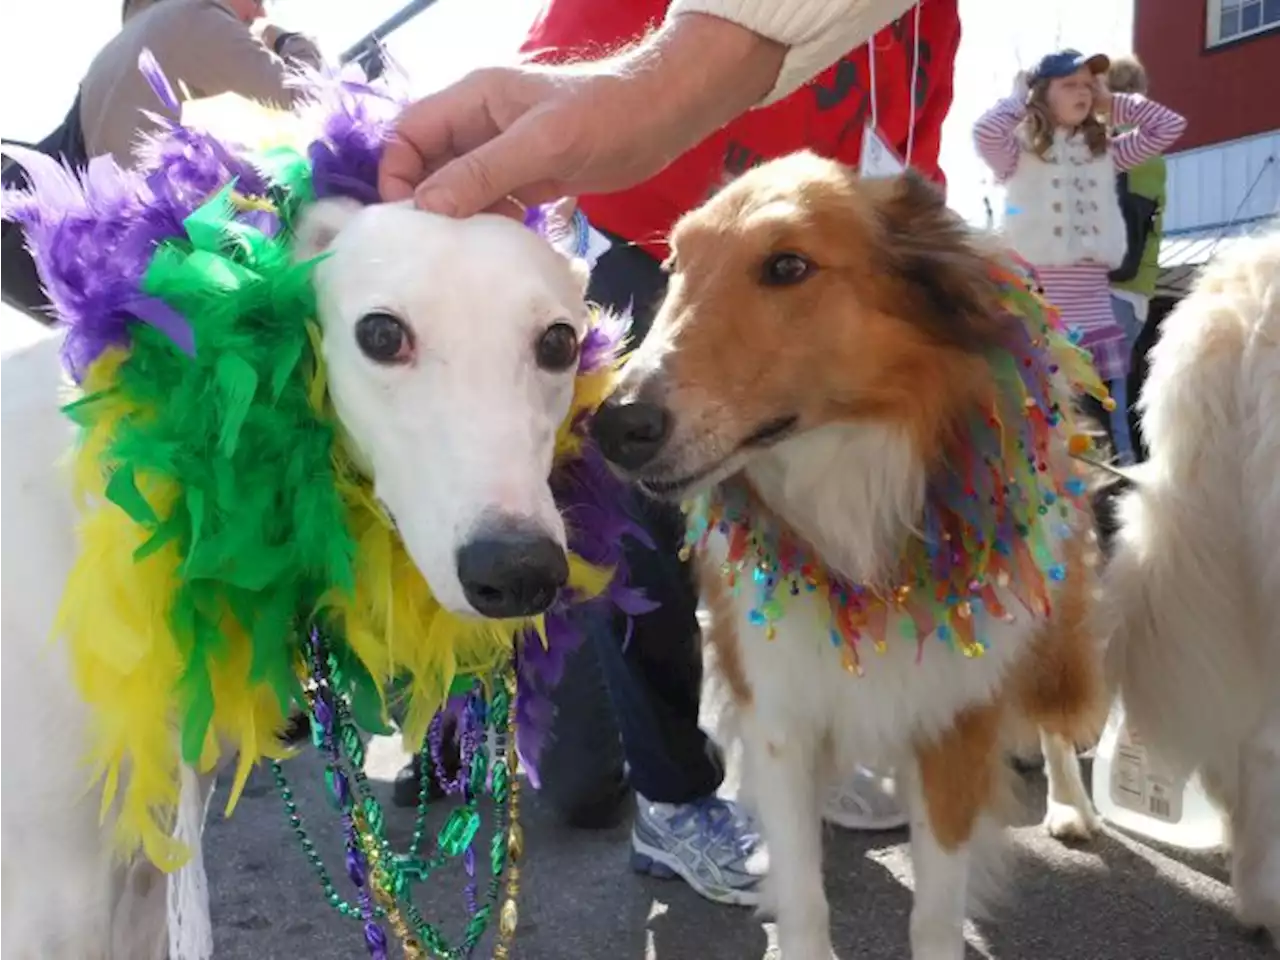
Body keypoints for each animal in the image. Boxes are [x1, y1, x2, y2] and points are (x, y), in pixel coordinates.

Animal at [591, 154, 1111, 960]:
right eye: (674, 268)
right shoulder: (778, 712)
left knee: (1055, 720)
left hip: (1053, 627)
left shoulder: (952, 717)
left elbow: (937, 905)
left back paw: (1069, 805)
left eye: (788, 266)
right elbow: (804, 894)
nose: (613, 426)